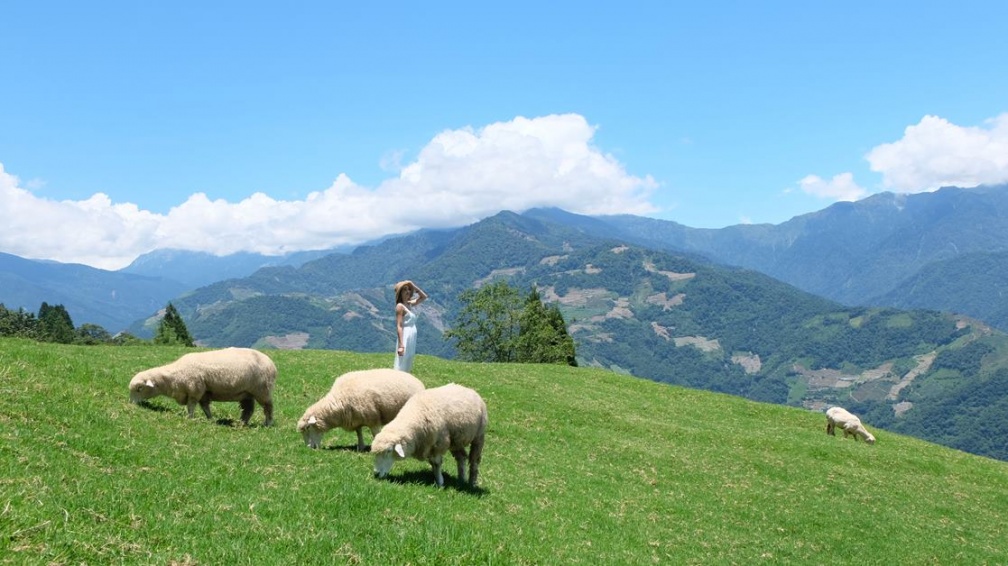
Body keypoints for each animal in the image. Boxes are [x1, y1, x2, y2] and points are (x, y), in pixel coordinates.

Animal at [132, 346, 280, 425]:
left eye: (140, 388)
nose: (132, 404)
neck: (174, 376)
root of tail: (271, 363)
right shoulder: (203, 392)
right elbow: (205, 407)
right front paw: (210, 419)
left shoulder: (195, 389)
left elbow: (191, 405)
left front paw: (190, 418)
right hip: (246, 393)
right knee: (248, 409)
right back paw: (241, 423)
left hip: (262, 390)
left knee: (268, 407)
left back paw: (267, 423)